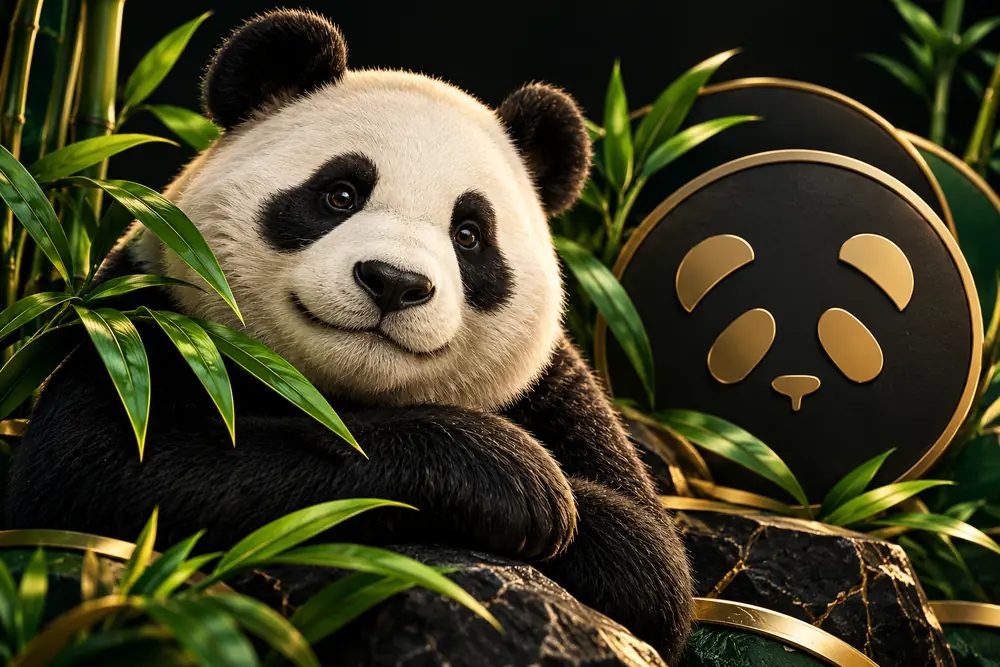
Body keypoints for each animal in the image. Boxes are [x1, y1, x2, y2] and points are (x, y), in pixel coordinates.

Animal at [7, 9, 693, 663]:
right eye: (340, 194)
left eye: (469, 234)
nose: (394, 282)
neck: (345, 394)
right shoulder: (144, 321)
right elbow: (107, 466)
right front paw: (526, 483)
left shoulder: (552, 387)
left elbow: (650, 562)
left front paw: (562, 504)